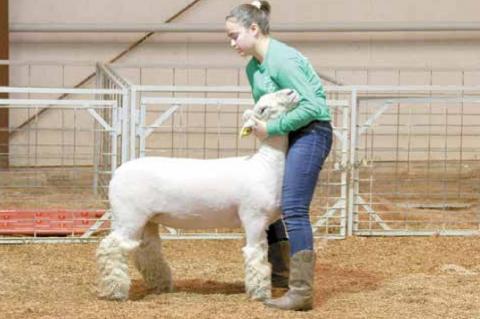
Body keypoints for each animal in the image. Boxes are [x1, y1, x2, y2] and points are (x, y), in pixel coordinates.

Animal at [96, 88, 300, 302]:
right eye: (263, 108)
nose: (291, 92)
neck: (265, 165)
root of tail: (117, 173)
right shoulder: (254, 217)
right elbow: (256, 255)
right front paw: (260, 294)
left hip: (148, 220)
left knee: (147, 250)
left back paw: (161, 284)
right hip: (129, 216)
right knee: (110, 247)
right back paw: (115, 291)